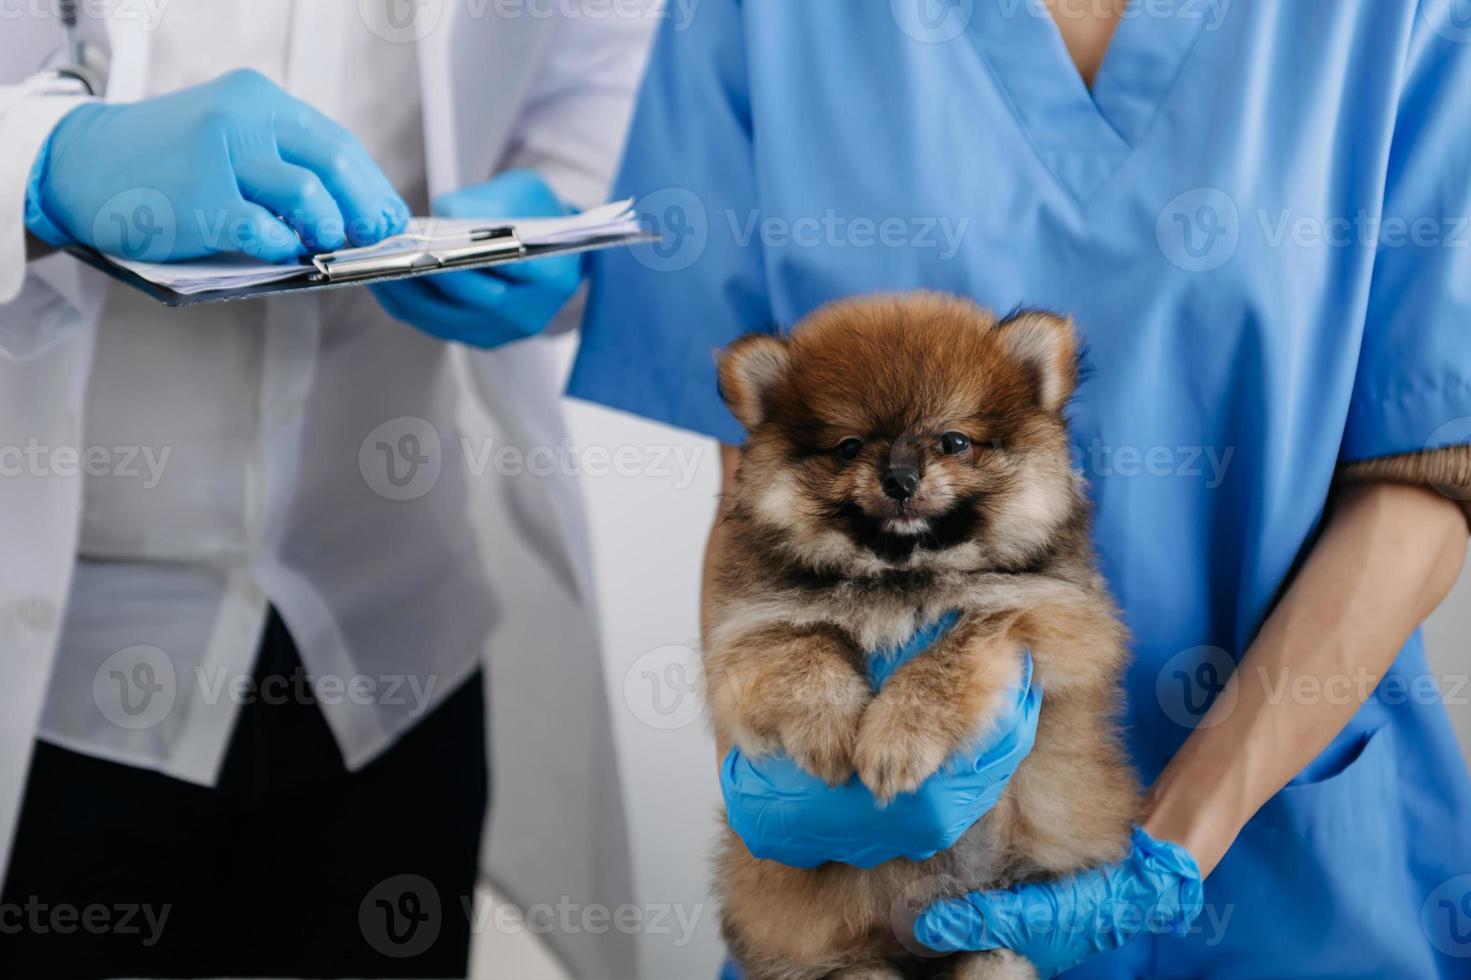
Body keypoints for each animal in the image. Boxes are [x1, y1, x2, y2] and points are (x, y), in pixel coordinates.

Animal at [700, 291, 1135, 977]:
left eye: (953, 442)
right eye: (849, 448)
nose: (900, 479)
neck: (903, 575)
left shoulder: (1049, 612)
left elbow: (951, 649)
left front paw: (897, 738)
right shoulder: (748, 630)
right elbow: (805, 646)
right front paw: (829, 728)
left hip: (994, 944)